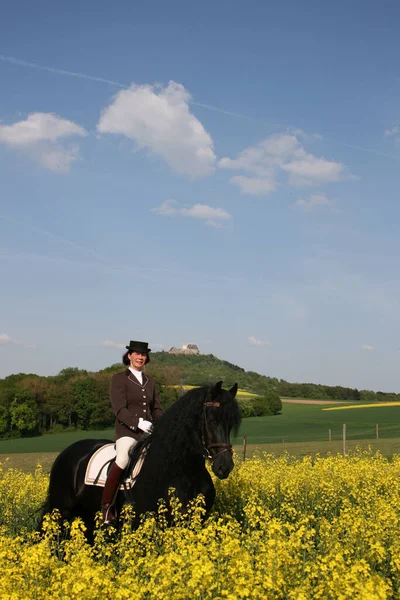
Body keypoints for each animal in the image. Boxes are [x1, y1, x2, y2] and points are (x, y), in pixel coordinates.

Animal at [39, 382, 241, 540]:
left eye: (230, 424)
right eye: (211, 420)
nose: (225, 466)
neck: (181, 470)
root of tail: (67, 451)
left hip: (87, 516)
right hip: (61, 511)